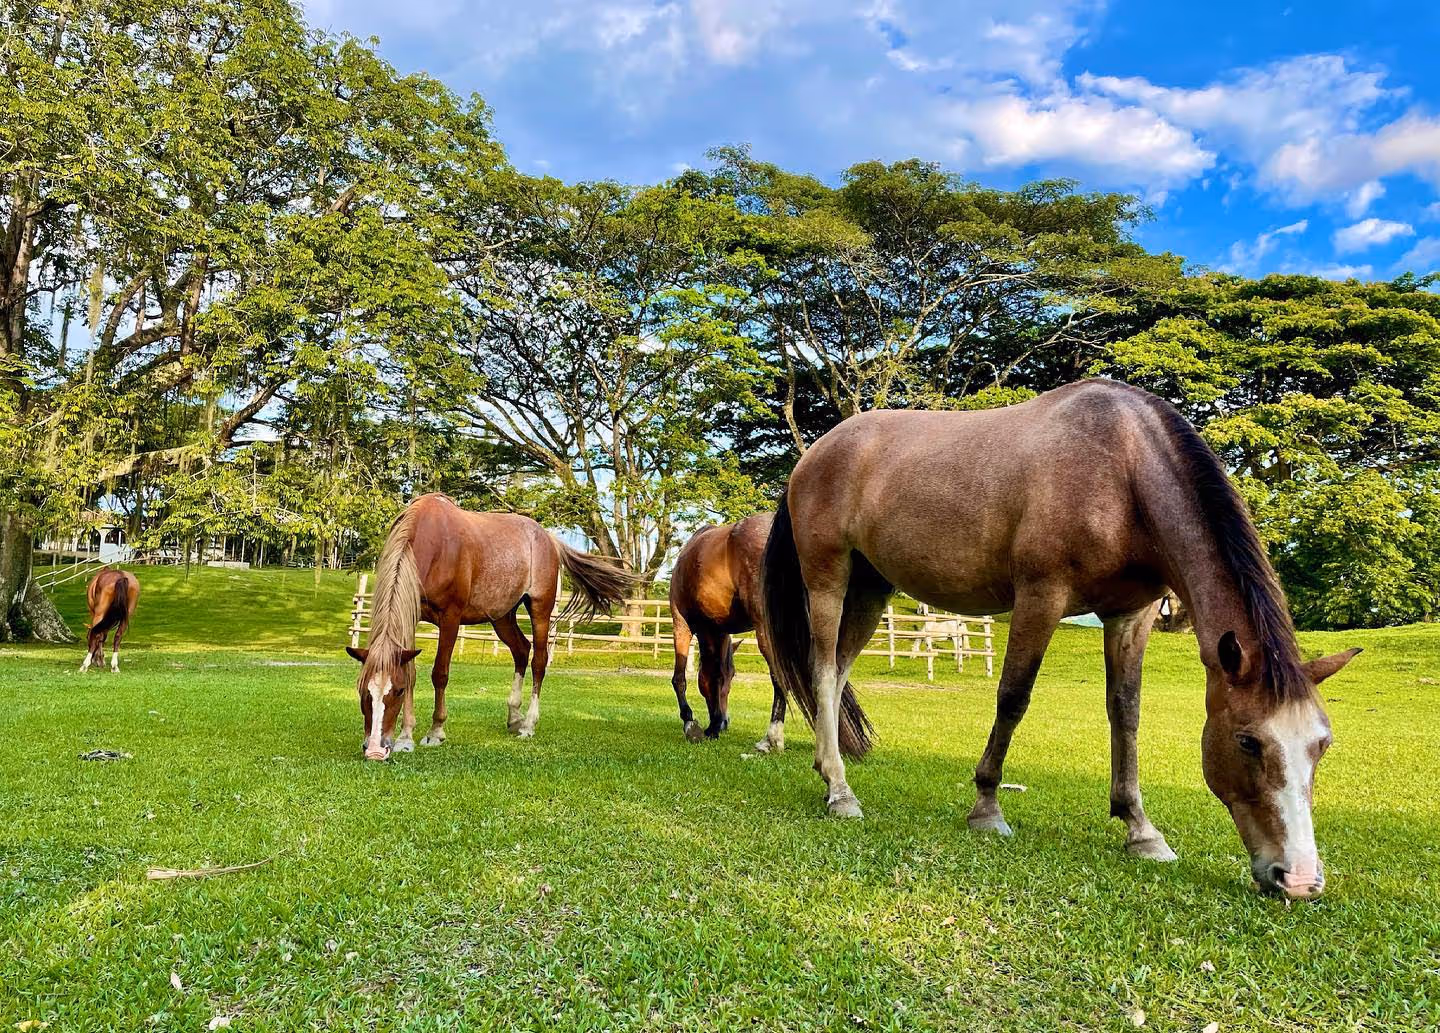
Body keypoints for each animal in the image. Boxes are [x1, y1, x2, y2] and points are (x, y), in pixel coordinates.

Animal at [345, 494, 636, 760]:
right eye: (363, 691)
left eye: (396, 691)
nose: (375, 750)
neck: (434, 541)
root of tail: (548, 538)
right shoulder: (411, 614)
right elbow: (411, 672)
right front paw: (406, 737)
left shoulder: (450, 618)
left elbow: (440, 673)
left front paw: (436, 731)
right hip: (502, 617)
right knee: (521, 651)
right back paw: (514, 717)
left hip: (540, 609)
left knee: (539, 661)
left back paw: (528, 725)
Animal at [667, 515, 871, 755]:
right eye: (733, 675)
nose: (725, 722)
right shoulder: (717, 630)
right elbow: (714, 674)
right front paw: (713, 725)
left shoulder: (682, 623)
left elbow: (683, 678)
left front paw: (691, 723)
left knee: (781, 678)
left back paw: (772, 738)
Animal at [761, 379, 1361, 898]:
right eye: (1247, 742)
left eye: (1323, 744)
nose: (1299, 879)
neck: (1123, 470)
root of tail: (816, 454)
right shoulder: (1041, 596)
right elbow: (1013, 698)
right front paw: (987, 807)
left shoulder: (1131, 613)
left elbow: (1126, 712)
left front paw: (1140, 829)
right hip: (829, 579)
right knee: (821, 671)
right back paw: (840, 791)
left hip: (871, 588)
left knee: (838, 672)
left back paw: (830, 771)